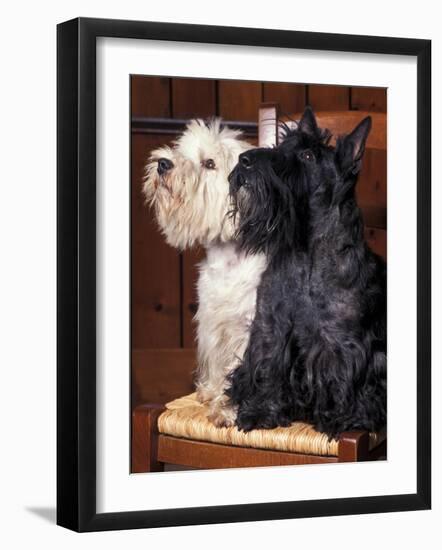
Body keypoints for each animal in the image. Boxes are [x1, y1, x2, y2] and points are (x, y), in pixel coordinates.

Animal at [144, 121, 266, 430]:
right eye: (181, 150)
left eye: (209, 163)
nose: (163, 163)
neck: (229, 258)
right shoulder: (212, 321)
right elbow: (217, 363)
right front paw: (210, 391)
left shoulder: (250, 328)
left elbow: (240, 371)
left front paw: (228, 410)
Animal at [228, 108, 386, 440]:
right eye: (283, 144)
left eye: (309, 155)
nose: (244, 159)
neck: (307, 257)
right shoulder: (271, 330)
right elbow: (269, 368)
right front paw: (261, 410)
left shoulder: (342, 341)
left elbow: (342, 377)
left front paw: (342, 417)